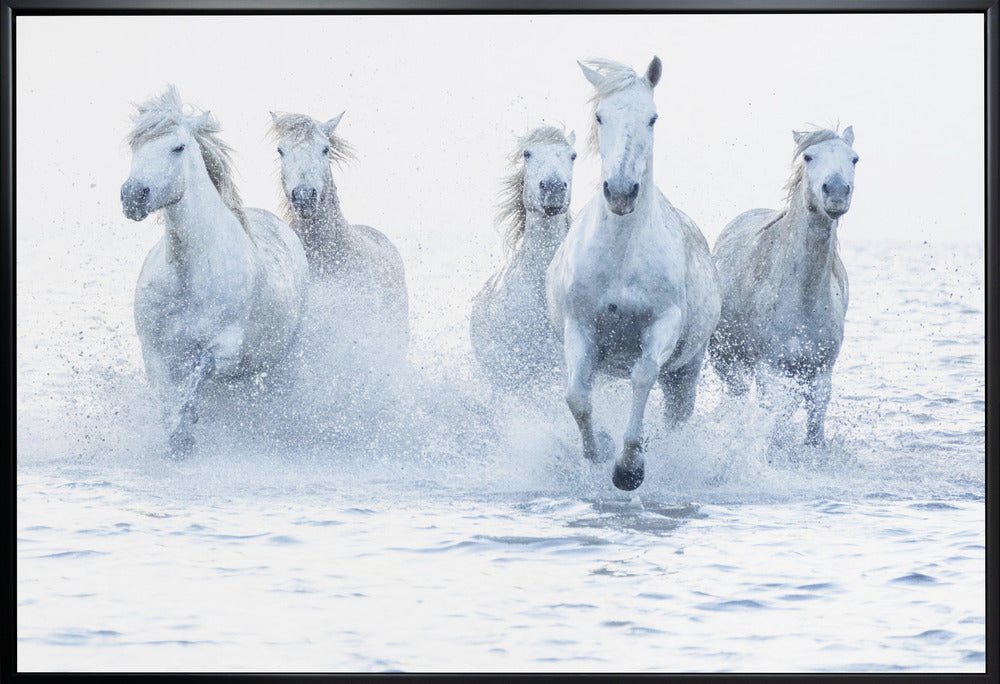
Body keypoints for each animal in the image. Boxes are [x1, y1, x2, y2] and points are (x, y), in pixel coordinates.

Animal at [120, 86, 309, 459]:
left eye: (177, 147)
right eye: (135, 145)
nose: (133, 196)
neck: (188, 275)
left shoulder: (226, 350)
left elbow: (199, 373)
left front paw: (184, 434)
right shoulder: (154, 352)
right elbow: (168, 397)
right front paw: (177, 436)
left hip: (280, 360)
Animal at [546, 57, 721, 491]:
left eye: (652, 118)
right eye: (600, 116)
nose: (621, 192)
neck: (622, 256)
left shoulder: (663, 324)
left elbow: (643, 375)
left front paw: (629, 468)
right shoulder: (580, 328)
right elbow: (577, 396)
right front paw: (598, 451)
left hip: (686, 371)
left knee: (677, 416)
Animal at [709, 126, 858, 446]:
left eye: (854, 158)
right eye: (808, 156)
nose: (836, 192)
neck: (803, 296)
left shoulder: (820, 375)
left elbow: (813, 431)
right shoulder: (770, 371)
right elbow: (774, 424)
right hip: (729, 363)